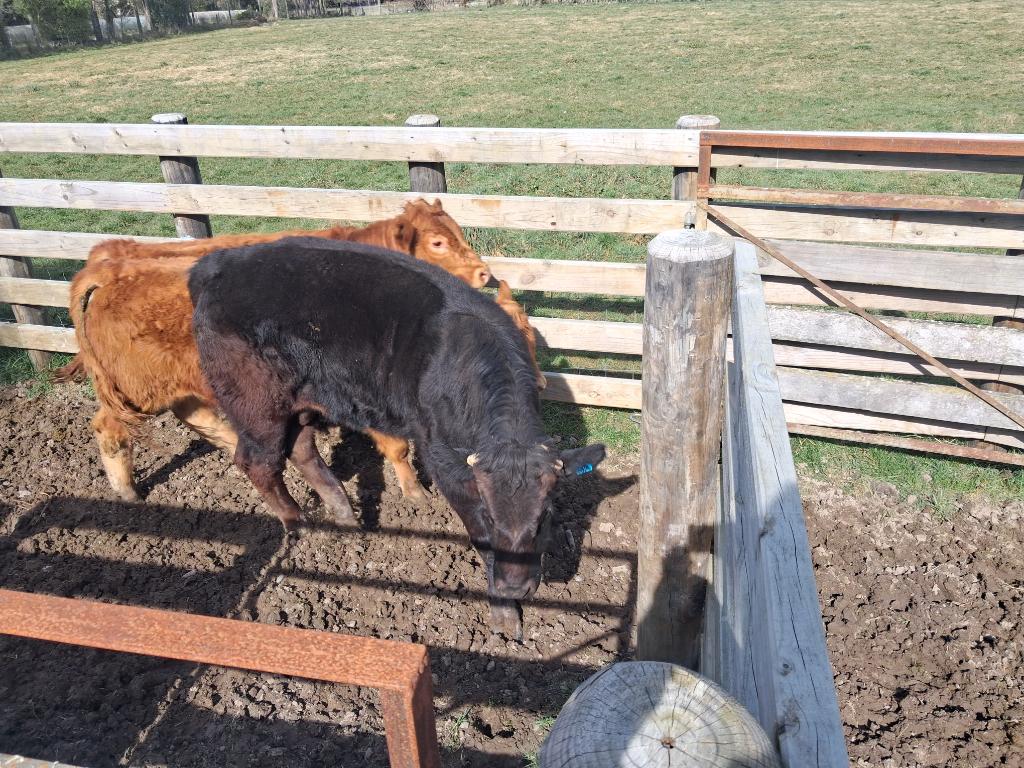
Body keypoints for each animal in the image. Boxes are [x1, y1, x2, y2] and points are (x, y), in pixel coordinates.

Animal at [56, 201, 541, 505]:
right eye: (437, 242)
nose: (484, 272)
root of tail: (105, 264)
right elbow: (397, 447)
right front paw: (416, 493)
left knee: (203, 421)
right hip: (138, 390)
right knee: (109, 430)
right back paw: (128, 492)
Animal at [188, 237, 605, 636]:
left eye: (545, 515)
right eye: (489, 511)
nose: (516, 587)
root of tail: (216, 262)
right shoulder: (445, 463)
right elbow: (481, 539)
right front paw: (504, 612)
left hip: (302, 398)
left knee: (302, 448)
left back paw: (345, 517)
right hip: (256, 403)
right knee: (258, 461)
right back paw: (298, 524)